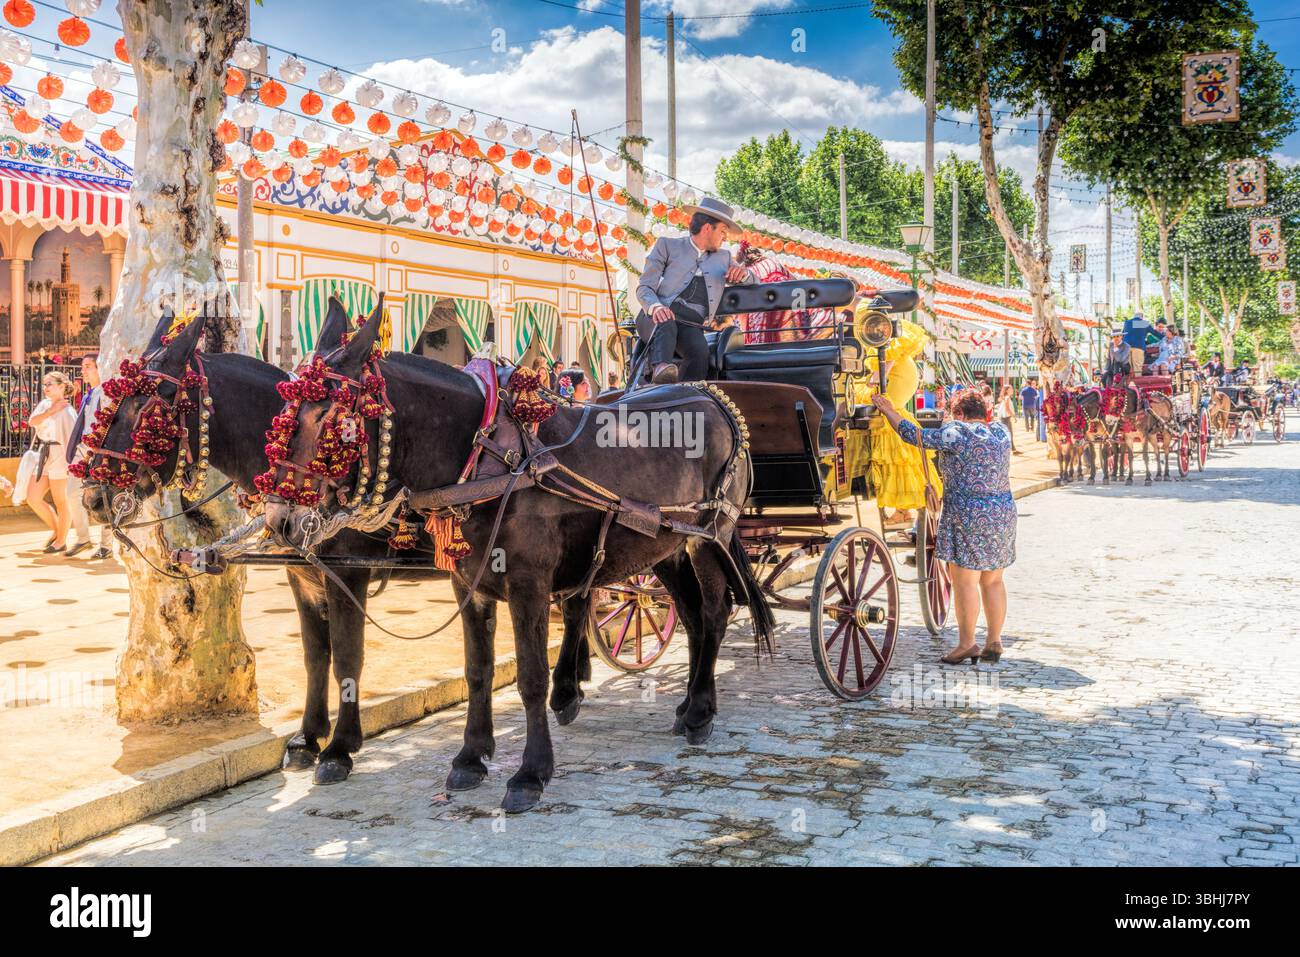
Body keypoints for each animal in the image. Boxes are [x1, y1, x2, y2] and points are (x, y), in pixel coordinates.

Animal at [261, 302, 775, 813]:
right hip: (664, 545)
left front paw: (531, 773)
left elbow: (530, 677)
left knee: (714, 611)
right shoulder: (468, 583)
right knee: (690, 614)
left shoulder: (528, 583)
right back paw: (688, 704)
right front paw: (470, 757)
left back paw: (701, 711)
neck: (485, 457)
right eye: (284, 411)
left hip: (710, 537)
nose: (280, 520)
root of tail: (712, 397)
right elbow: (477, 671)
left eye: (330, 418)